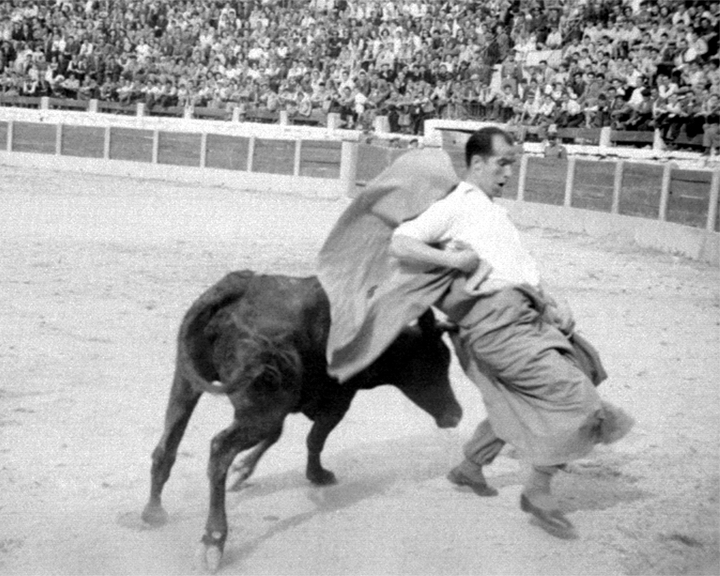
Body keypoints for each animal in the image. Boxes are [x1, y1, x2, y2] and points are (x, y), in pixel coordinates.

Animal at [142, 270, 462, 572]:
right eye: (438, 359)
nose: (456, 414)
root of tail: (239, 288)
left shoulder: (288, 406)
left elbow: (278, 435)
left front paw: (243, 470)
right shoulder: (337, 400)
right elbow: (315, 438)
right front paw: (317, 475)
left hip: (188, 382)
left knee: (167, 444)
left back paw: (153, 511)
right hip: (259, 407)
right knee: (220, 448)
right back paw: (213, 540)